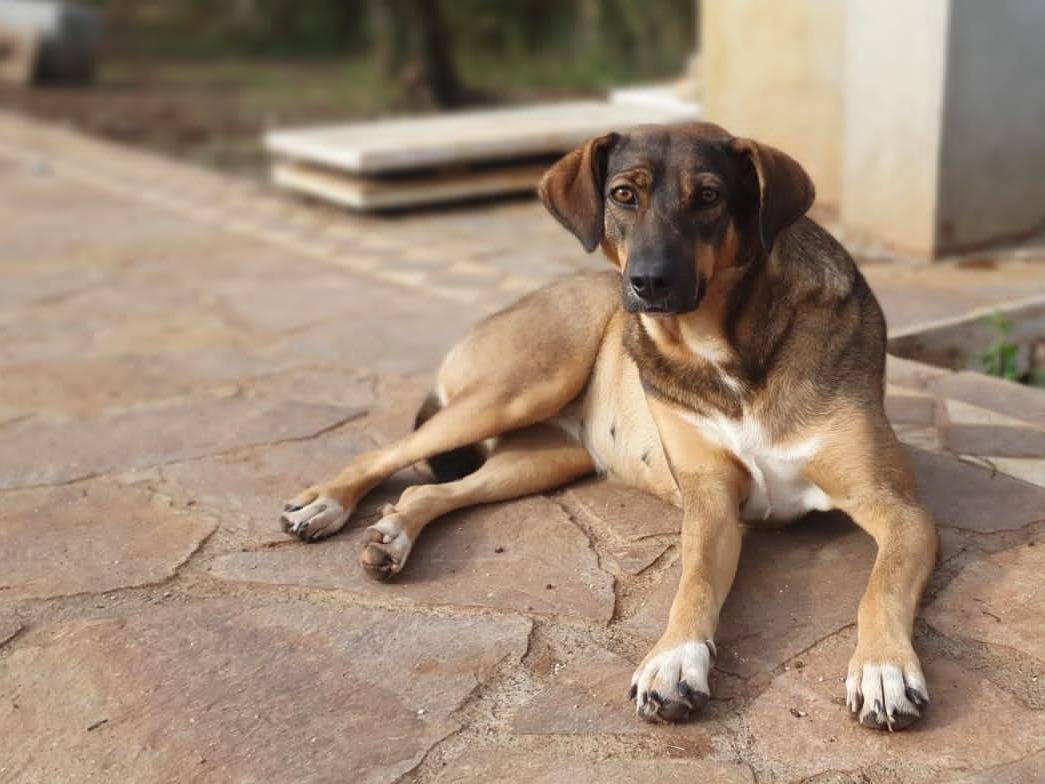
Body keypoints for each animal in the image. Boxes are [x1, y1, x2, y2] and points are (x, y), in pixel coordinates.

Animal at [280, 121, 940, 731]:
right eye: (624, 194)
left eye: (709, 197)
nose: (647, 283)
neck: (724, 351)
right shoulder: (710, 501)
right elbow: (694, 583)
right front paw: (674, 660)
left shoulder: (899, 509)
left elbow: (879, 587)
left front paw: (881, 668)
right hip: (518, 389)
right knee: (385, 455)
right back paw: (326, 504)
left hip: (544, 458)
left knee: (427, 488)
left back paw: (390, 537)